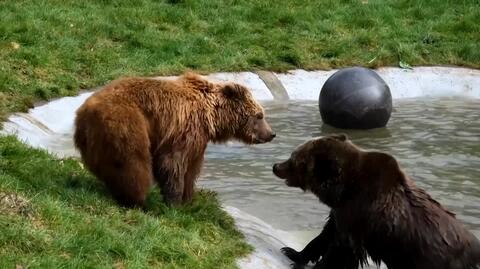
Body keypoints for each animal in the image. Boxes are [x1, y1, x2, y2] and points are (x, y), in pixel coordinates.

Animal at [73, 71, 276, 207]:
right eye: (259, 115)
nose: (271, 134)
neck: (211, 117)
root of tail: (85, 110)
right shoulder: (185, 130)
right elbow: (173, 163)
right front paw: (174, 201)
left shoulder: (198, 140)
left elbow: (191, 169)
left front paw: (189, 198)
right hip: (128, 124)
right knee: (134, 164)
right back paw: (138, 200)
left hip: (94, 141)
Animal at [274, 133, 480, 268]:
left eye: (293, 158)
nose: (275, 166)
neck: (343, 189)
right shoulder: (341, 213)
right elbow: (324, 236)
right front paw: (293, 253)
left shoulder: (360, 215)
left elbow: (342, 250)